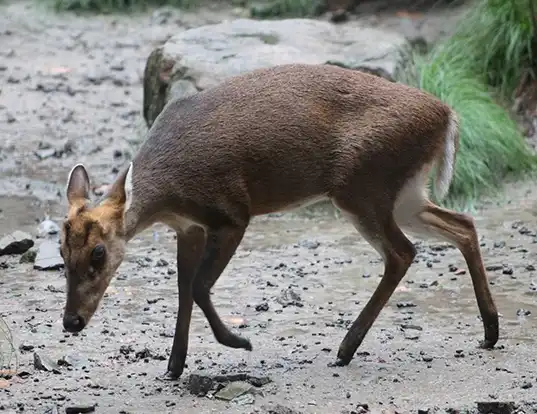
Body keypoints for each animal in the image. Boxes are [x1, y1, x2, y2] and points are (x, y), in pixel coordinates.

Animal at [59, 62, 498, 378]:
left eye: (98, 252)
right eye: (62, 253)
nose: (71, 322)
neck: (169, 192)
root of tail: (447, 115)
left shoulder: (232, 212)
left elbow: (198, 287)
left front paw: (239, 342)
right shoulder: (188, 228)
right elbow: (183, 290)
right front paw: (173, 367)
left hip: (363, 187)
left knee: (403, 251)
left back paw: (345, 349)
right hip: (403, 193)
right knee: (463, 225)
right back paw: (490, 332)